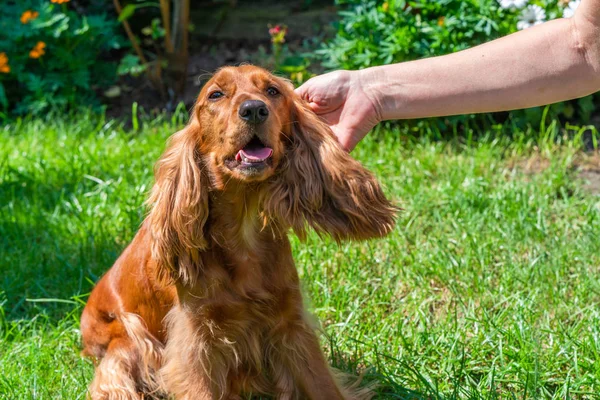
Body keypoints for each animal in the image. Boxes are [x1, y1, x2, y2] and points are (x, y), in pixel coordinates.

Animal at [79, 65, 398, 400]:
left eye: (272, 91)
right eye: (216, 94)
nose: (254, 109)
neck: (243, 229)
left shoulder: (291, 323)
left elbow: (322, 385)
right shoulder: (197, 339)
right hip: (124, 349)